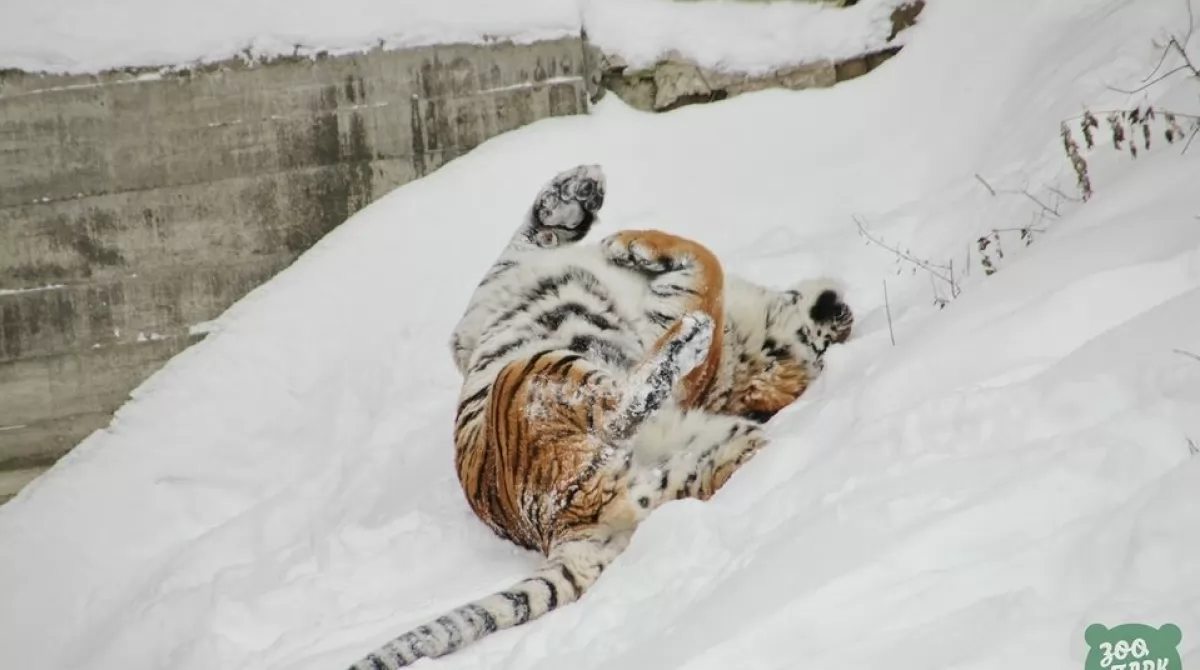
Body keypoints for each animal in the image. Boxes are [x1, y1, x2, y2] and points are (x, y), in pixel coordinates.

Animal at [346, 165, 853, 670]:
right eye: (829, 340)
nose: (843, 310)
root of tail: (564, 529)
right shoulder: (471, 328)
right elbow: (527, 243)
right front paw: (576, 195)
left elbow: (706, 264)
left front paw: (624, 240)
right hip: (699, 450)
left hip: (542, 372)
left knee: (620, 406)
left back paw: (688, 337)